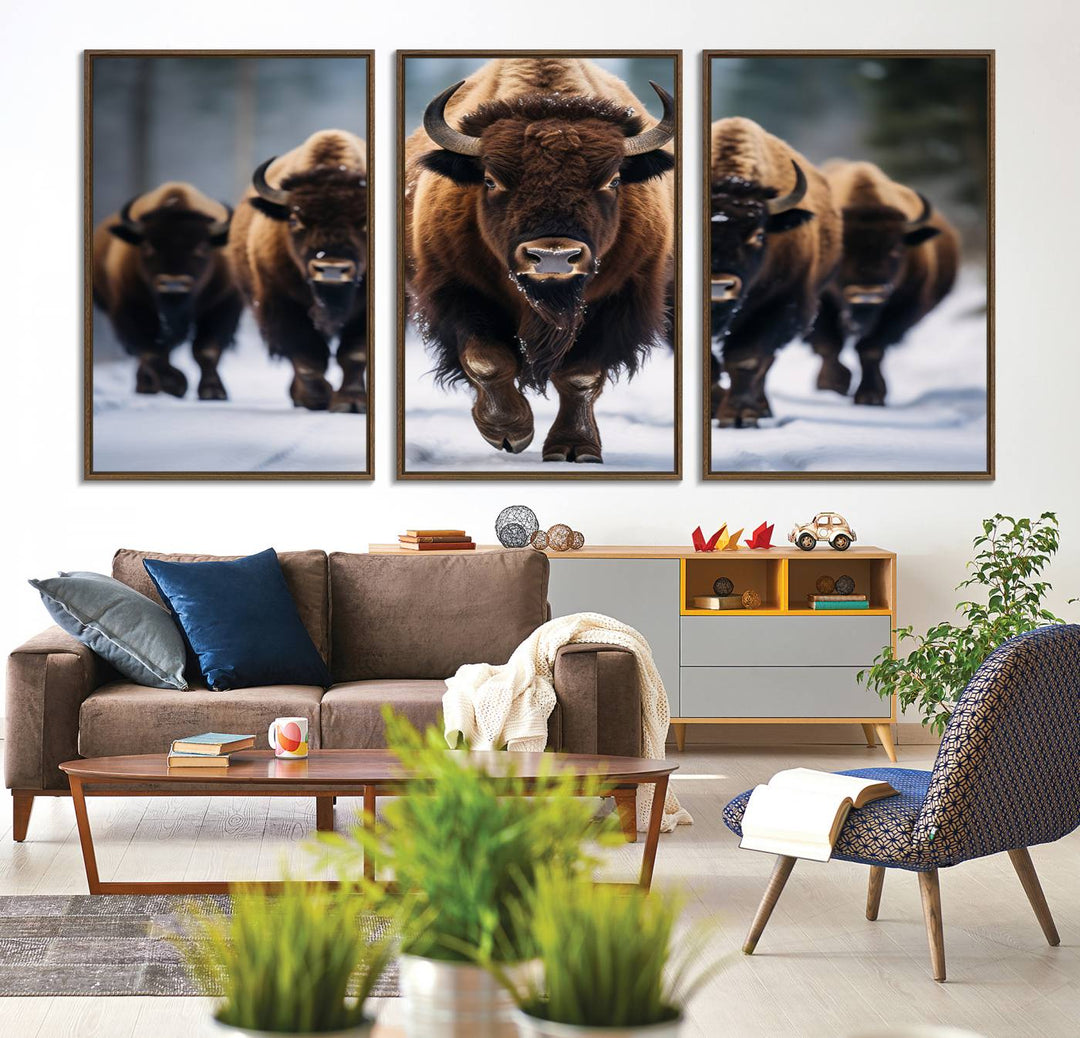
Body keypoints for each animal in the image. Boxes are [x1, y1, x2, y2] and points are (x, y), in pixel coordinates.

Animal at [91, 181, 241, 397]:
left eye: (203, 247)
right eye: (147, 246)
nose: (173, 284)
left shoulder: (222, 304)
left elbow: (206, 350)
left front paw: (213, 391)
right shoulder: (131, 308)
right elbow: (151, 352)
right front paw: (174, 383)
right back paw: (147, 386)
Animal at [225, 132, 369, 412]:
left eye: (365, 221)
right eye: (294, 219)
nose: (331, 268)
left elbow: (354, 354)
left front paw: (351, 402)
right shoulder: (283, 304)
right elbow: (307, 356)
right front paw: (317, 398)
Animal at [406, 57, 673, 462]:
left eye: (613, 180)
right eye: (490, 179)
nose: (553, 257)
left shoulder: (620, 300)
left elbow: (580, 376)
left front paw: (575, 447)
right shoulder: (458, 290)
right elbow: (486, 359)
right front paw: (508, 432)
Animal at [708, 119, 842, 427]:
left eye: (759, 234)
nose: (718, 286)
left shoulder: (780, 305)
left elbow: (747, 359)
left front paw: (739, 416)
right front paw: (717, 408)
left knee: (764, 365)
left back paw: (761, 408)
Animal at [812, 160, 963, 406]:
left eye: (896, 249)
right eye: (842, 250)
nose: (867, 294)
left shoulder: (899, 310)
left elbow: (871, 350)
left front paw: (870, 396)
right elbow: (829, 345)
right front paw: (832, 385)